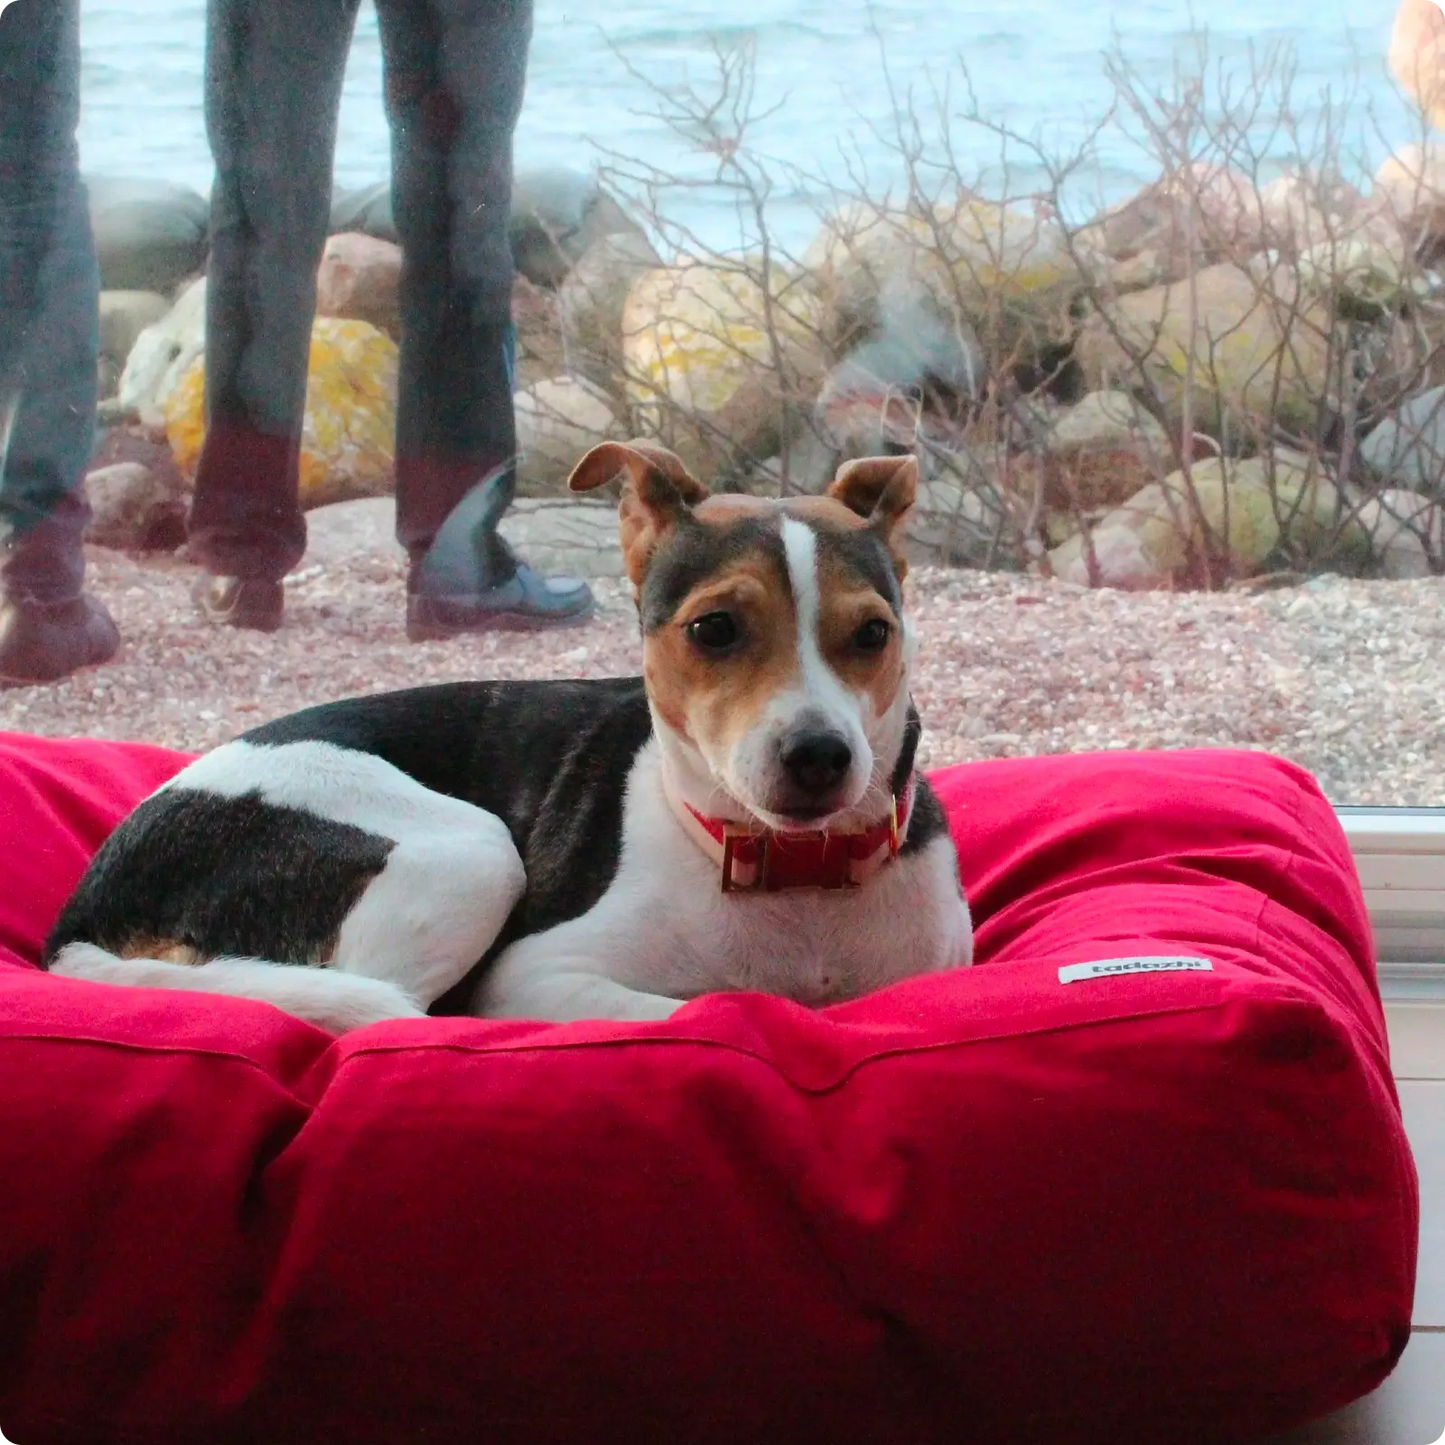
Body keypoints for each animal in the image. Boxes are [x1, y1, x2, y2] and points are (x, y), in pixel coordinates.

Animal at [42, 439, 971, 1028]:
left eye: (873, 634)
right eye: (714, 630)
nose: (819, 756)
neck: (793, 878)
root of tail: (79, 923)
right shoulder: (537, 974)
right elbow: (715, 1003)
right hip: (469, 851)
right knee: (370, 1004)